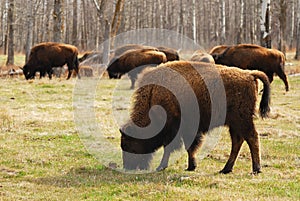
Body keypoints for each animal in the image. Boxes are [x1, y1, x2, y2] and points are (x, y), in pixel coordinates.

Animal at [120, 60, 272, 174]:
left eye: (129, 144)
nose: (128, 167)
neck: (154, 94)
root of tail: (249, 74)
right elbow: (186, 147)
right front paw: (190, 166)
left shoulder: (176, 129)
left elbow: (175, 148)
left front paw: (165, 166)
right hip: (234, 123)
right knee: (238, 141)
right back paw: (226, 169)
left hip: (242, 120)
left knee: (252, 138)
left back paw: (256, 169)